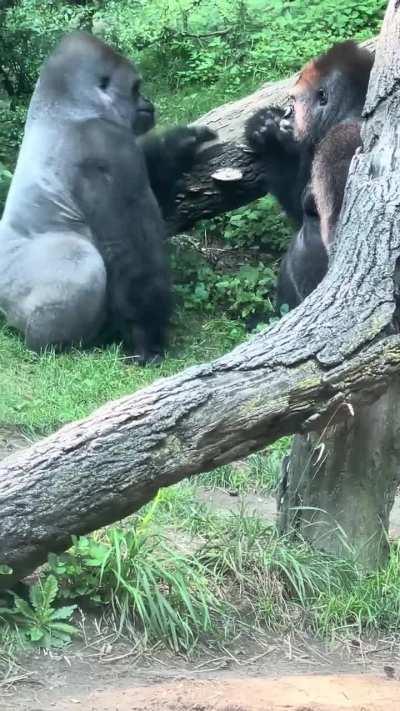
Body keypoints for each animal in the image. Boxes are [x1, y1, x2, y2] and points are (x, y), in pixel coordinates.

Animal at [245, 41, 374, 310]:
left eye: (294, 102)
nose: (286, 114)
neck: (352, 112)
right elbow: (295, 207)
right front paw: (267, 133)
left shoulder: (341, 143)